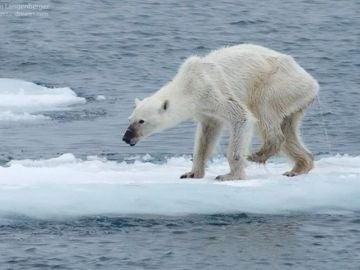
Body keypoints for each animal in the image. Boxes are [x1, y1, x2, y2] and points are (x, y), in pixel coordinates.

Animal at [123, 44, 318, 180]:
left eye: (141, 121)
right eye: (130, 119)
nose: (126, 137)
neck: (189, 84)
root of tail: (312, 82)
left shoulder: (212, 91)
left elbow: (242, 117)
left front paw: (229, 175)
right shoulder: (204, 109)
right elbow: (206, 135)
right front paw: (191, 173)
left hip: (279, 84)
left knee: (263, 110)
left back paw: (258, 154)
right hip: (294, 99)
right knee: (288, 128)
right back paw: (298, 167)